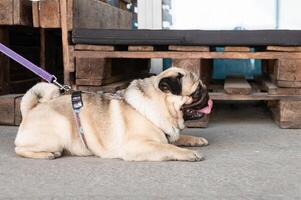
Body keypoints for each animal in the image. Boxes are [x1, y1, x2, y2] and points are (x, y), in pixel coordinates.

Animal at [14, 67, 211, 161]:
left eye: (202, 89)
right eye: (196, 92)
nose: (208, 93)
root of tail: (32, 109)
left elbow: (177, 138)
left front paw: (195, 140)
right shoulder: (137, 145)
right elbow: (168, 148)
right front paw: (188, 153)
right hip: (59, 129)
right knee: (19, 149)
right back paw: (46, 154)